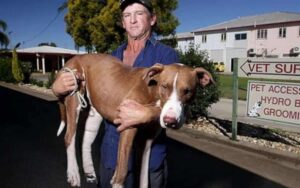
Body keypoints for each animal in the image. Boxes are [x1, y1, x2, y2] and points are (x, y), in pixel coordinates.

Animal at [56, 53, 213, 188]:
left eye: (188, 91)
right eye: (164, 86)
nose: (170, 121)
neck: (152, 91)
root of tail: (74, 58)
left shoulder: (148, 140)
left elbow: (143, 175)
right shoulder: (128, 128)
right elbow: (122, 172)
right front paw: (117, 180)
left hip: (95, 110)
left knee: (86, 139)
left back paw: (89, 171)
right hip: (74, 95)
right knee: (69, 137)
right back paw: (73, 173)